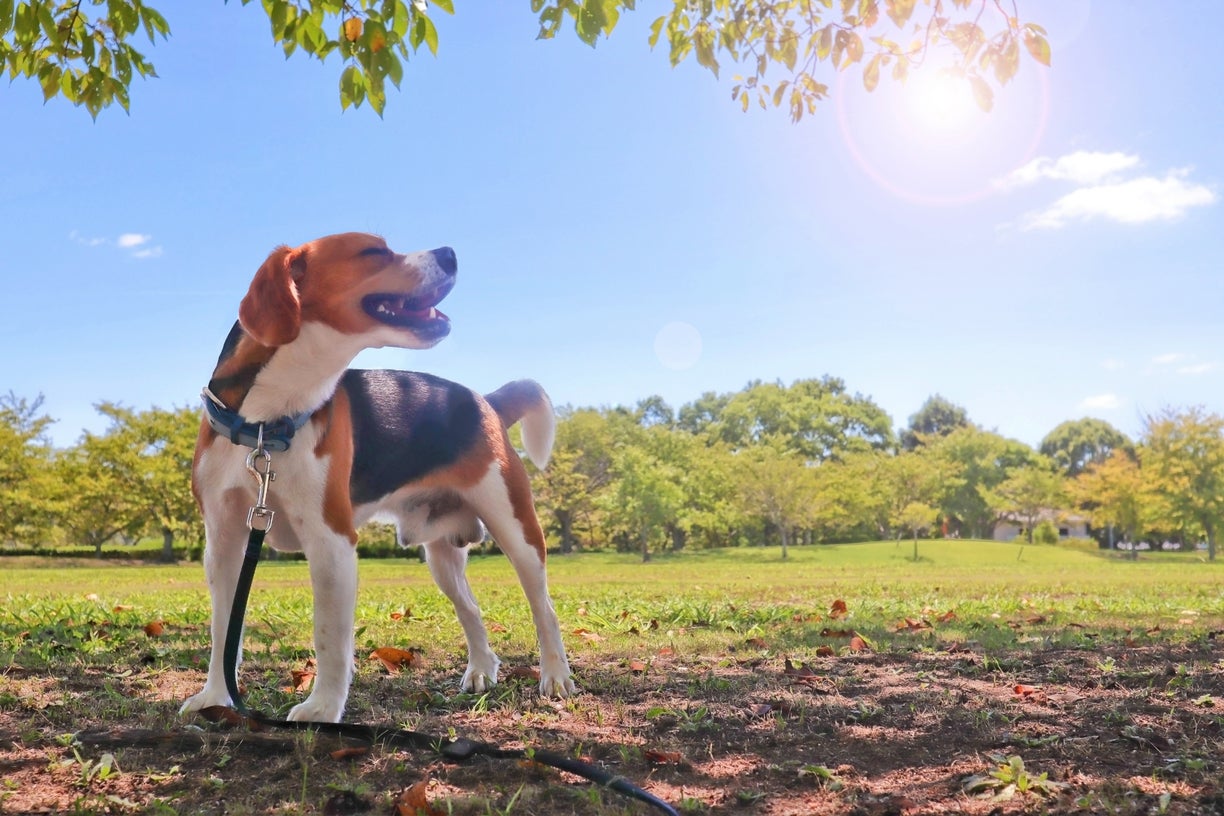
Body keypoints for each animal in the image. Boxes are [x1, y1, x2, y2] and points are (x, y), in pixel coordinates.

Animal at [178, 232, 575, 724]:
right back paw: (482, 670)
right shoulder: (225, 542)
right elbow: (222, 633)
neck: (267, 422)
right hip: (442, 558)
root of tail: (484, 401)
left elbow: (329, 636)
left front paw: (322, 709)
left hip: (517, 530)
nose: (450, 253)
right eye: (372, 252)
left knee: (545, 608)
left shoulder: (331, 541)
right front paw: (217, 696)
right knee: (472, 610)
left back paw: (555, 677)